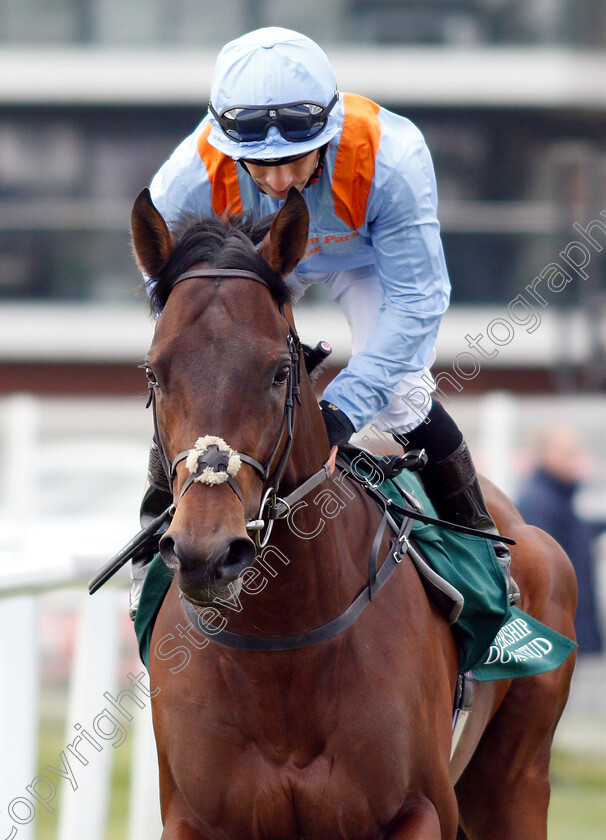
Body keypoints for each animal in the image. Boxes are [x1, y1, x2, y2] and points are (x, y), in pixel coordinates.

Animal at [132, 185, 580, 840]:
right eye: (154, 371)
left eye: (279, 370)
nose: (206, 554)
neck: (282, 647)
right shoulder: (193, 819)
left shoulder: (421, 810)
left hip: (515, 781)